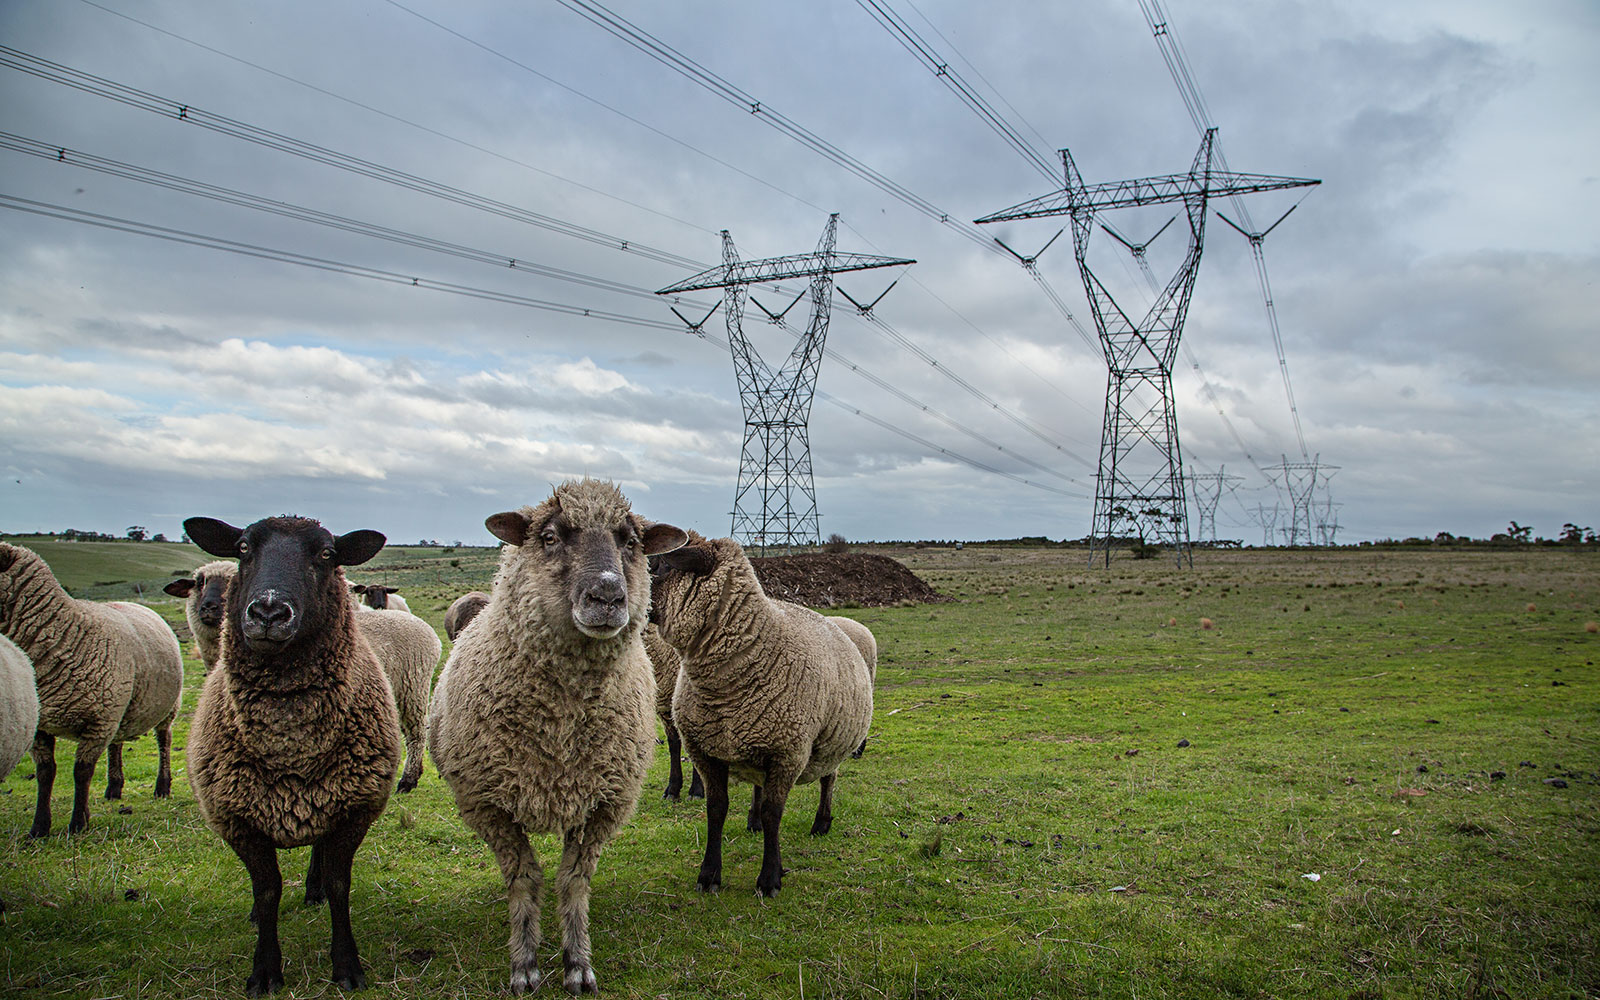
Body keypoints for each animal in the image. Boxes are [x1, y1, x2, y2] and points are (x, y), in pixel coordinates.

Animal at [0, 537, 183, 832]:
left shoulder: (98, 722)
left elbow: (82, 772)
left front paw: (78, 823)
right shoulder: (42, 725)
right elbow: (45, 772)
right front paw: (39, 827)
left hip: (167, 707)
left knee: (163, 741)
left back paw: (162, 786)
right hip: (120, 707)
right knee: (116, 744)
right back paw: (114, 788)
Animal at [183, 512, 400, 992]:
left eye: (327, 554)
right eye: (243, 548)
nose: (268, 612)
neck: (291, 746)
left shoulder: (353, 811)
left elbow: (339, 885)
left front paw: (347, 966)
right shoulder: (238, 822)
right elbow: (266, 891)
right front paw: (264, 970)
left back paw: (313, 888)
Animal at [428, 476, 684, 992]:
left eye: (631, 541)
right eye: (549, 536)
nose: (608, 597)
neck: (561, 722)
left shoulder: (604, 803)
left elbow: (573, 881)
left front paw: (577, 962)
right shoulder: (489, 805)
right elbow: (524, 878)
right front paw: (524, 964)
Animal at [649, 531, 876, 896]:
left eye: (659, 564)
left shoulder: (788, 753)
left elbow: (774, 813)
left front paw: (770, 878)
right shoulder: (705, 749)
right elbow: (716, 809)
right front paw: (709, 875)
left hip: (831, 740)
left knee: (828, 779)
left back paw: (822, 822)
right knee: (758, 785)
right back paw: (753, 820)